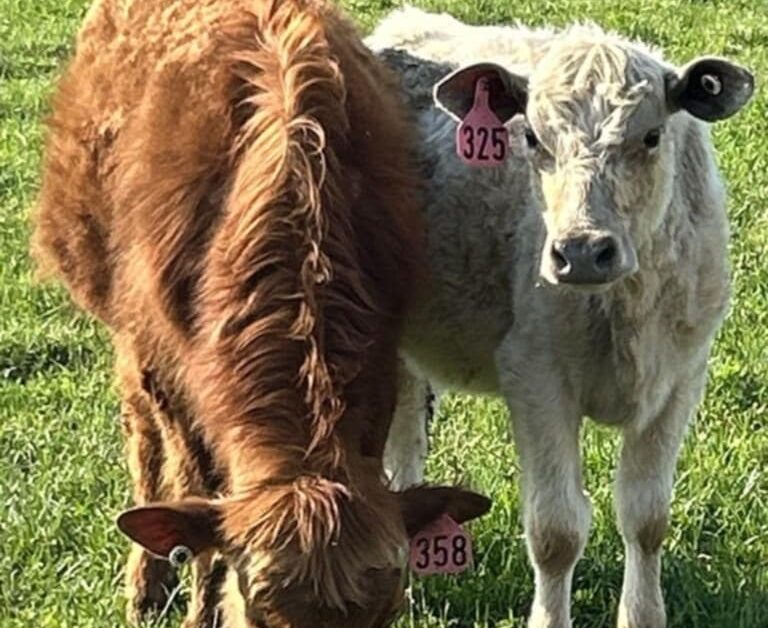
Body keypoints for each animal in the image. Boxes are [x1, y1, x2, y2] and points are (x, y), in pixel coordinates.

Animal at [31, 1, 492, 628]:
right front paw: (199, 610)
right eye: (261, 617)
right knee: (144, 443)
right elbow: (199, 495)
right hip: (128, 332)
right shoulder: (175, 378)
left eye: (384, 613)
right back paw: (146, 584)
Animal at [368, 8, 756, 628]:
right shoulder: (536, 378)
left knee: (405, 434)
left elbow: (647, 518)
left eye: (651, 135)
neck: (627, 306)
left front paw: (643, 615)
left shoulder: (681, 378)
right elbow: (556, 531)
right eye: (531, 137)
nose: (582, 250)